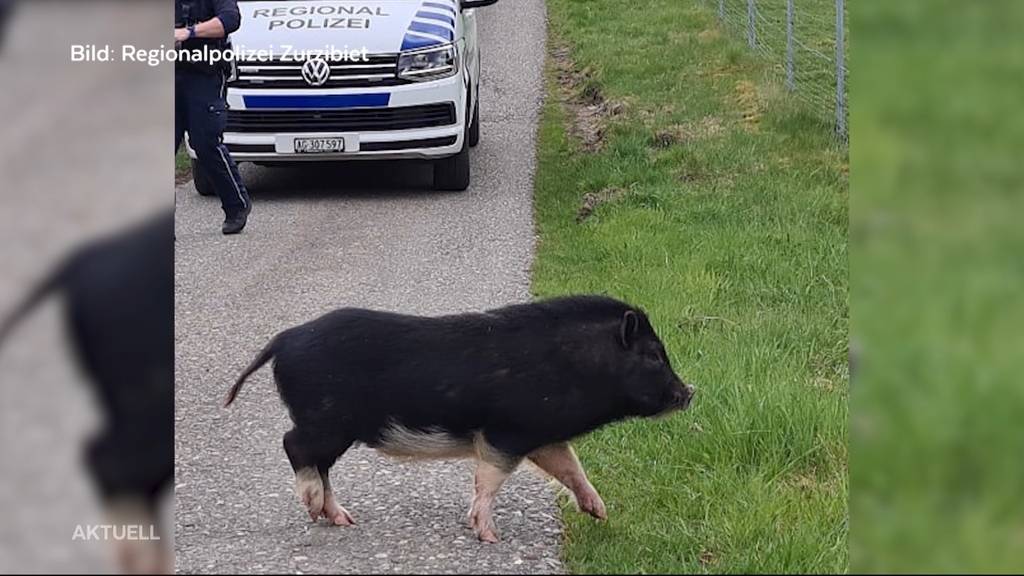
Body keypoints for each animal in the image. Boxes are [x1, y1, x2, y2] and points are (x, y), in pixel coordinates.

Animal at [227, 293, 692, 541]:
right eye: (654, 356)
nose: (689, 392)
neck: (574, 367)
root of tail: (285, 338)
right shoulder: (505, 433)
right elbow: (488, 480)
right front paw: (490, 536)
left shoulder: (541, 434)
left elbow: (570, 466)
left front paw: (600, 514)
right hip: (326, 421)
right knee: (294, 445)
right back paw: (316, 509)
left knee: (316, 462)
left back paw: (341, 518)